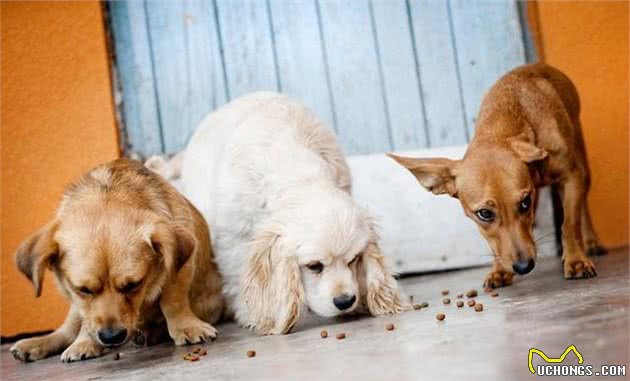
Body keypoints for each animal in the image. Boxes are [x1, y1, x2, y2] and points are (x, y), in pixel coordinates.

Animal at [9, 159, 225, 360]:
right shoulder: (78, 299)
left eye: (133, 285)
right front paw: (84, 342)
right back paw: (37, 343)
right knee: (67, 330)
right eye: (83, 290)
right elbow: (87, 319)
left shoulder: (180, 269)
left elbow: (173, 300)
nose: (111, 337)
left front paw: (186, 327)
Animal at [156, 92, 408, 332]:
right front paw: (254, 314)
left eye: (354, 259)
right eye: (314, 266)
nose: (345, 301)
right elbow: (238, 274)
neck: (298, 173)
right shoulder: (232, 238)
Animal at [390, 63, 608, 288]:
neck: (502, 126)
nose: (524, 266)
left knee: (582, 208)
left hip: (582, 169)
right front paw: (499, 270)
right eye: (485, 214)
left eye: (524, 203)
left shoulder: (569, 178)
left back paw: (591, 242)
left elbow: (570, 224)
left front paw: (576, 260)